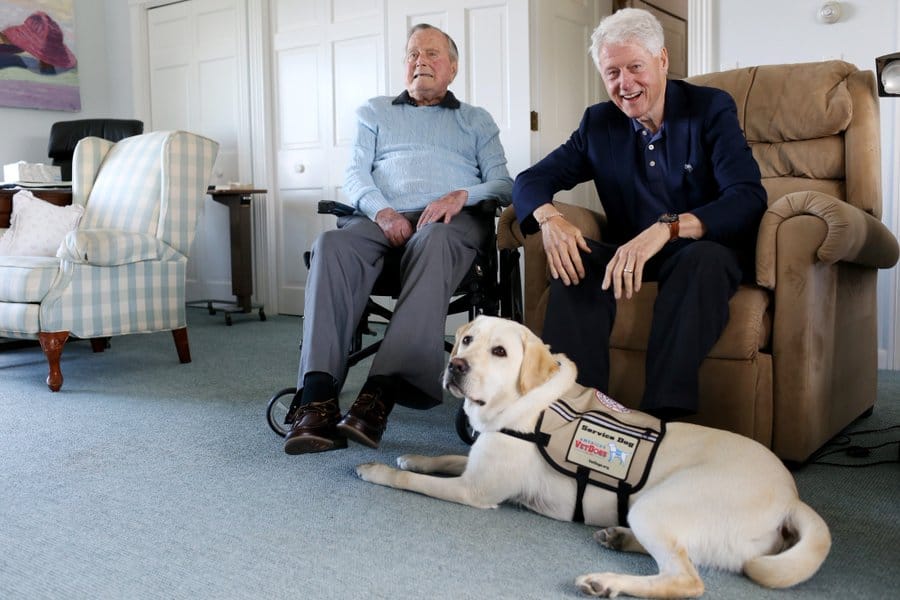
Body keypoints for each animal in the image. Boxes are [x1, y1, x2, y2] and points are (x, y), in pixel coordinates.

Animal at [356, 316, 832, 596]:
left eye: (500, 352)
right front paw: (412, 457)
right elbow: (443, 458)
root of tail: (792, 497)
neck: (524, 403)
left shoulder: (476, 491)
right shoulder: (479, 462)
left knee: (687, 579)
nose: (456, 366)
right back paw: (618, 538)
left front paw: (376, 469)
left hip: (657, 504)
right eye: (467, 340)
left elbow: (414, 481)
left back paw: (605, 580)